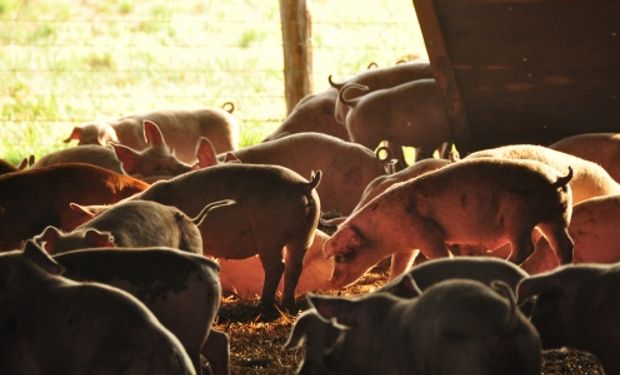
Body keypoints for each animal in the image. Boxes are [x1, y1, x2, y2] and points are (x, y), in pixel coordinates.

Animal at [132, 163, 324, 312]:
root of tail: (304, 185)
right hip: (305, 234)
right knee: (295, 267)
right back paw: (288, 305)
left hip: (270, 237)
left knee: (277, 267)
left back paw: (264, 306)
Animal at [322, 158, 572, 288]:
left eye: (343, 256)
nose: (331, 283)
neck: (382, 231)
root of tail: (557, 179)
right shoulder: (409, 244)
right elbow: (399, 266)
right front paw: (391, 283)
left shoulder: (426, 232)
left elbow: (441, 256)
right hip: (556, 216)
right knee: (564, 244)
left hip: (518, 219)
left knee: (526, 247)